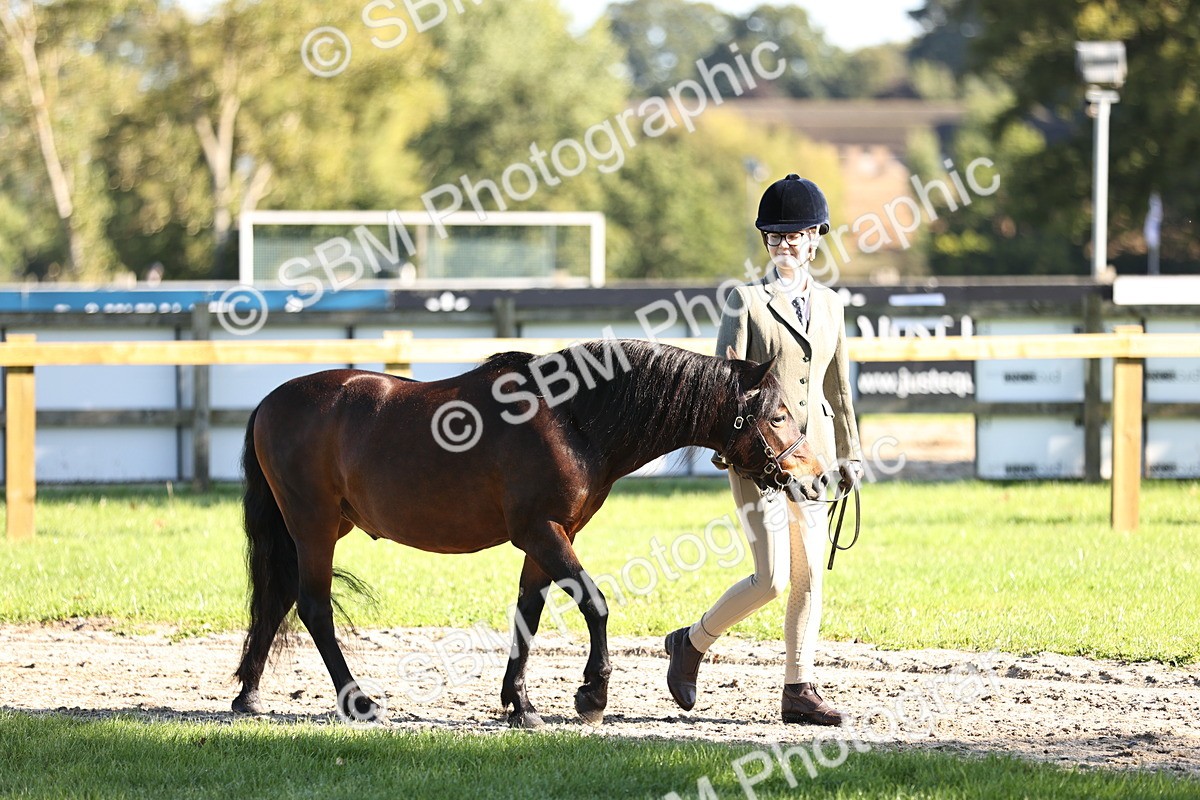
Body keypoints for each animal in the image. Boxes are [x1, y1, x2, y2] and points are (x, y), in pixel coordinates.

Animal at [230, 339, 826, 728]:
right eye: (777, 416)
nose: (819, 477)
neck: (570, 419)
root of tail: (268, 402)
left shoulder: (552, 538)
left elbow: (529, 615)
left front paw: (520, 704)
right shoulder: (540, 532)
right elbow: (595, 603)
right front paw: (591, 695)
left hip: (314, 529)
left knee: (278, 600)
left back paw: (248, 698)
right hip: (313, 527)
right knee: (313, 608)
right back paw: (359, 703)